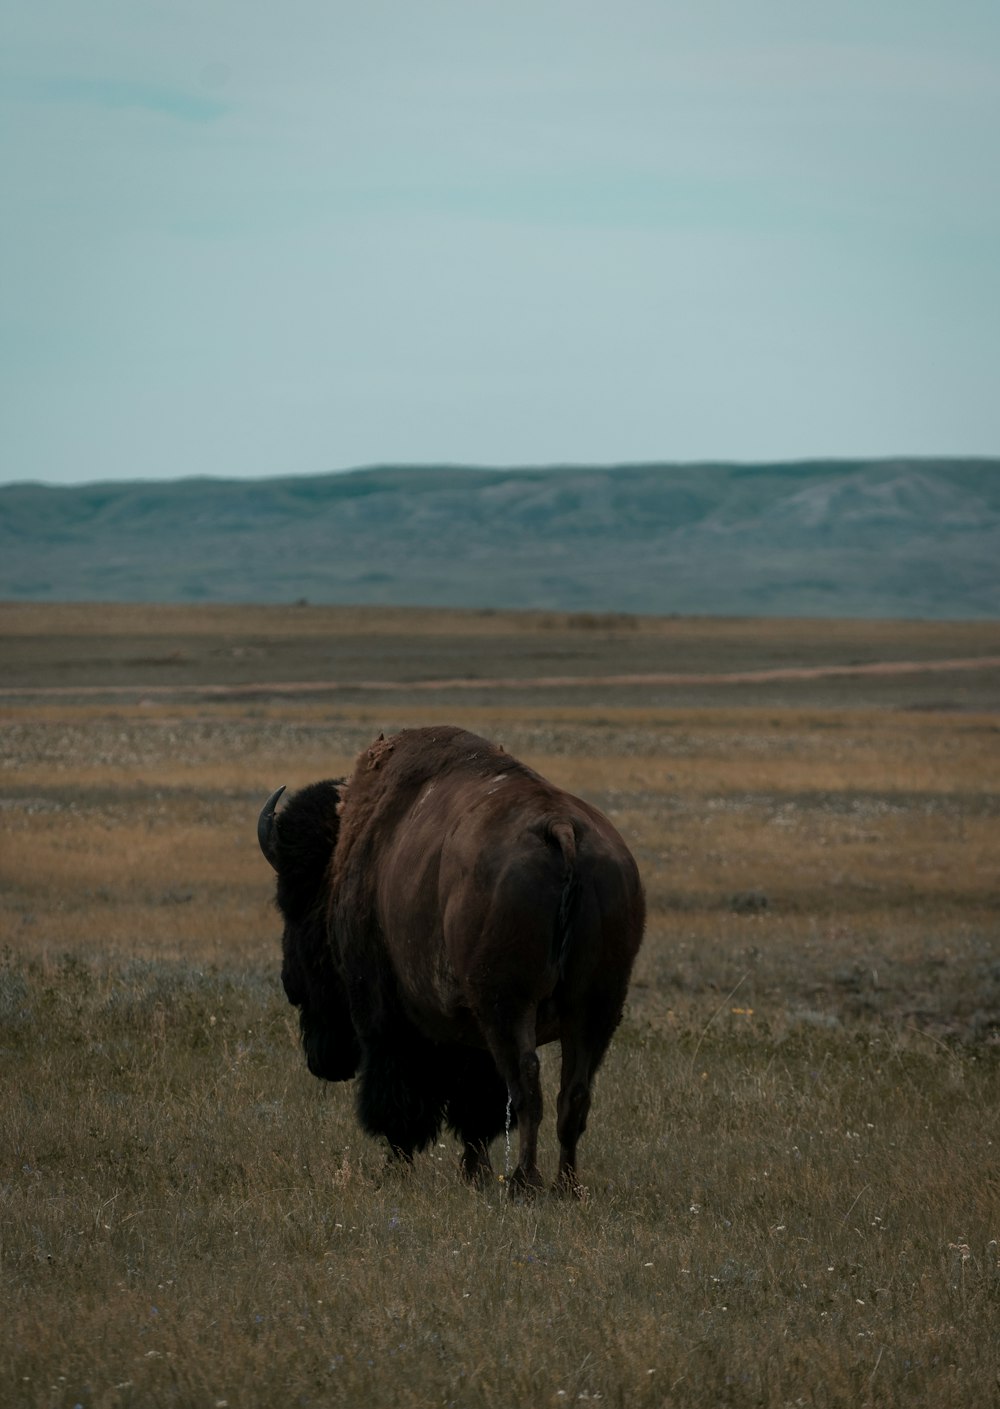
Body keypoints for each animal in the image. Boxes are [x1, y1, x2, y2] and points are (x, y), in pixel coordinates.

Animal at [259, 727, 645, 1189]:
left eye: (293, 903)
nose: (289, 982)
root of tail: (561, 827)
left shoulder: (387, 1020)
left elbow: (402, 1101)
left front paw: (397, 1168)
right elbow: (477, 1109)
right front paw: (474, 1173)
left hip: (509, 1006)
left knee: (527, 1084)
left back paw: (524, 1183)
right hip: (596, 1007)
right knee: (573, 1093)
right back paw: (564, 1186)